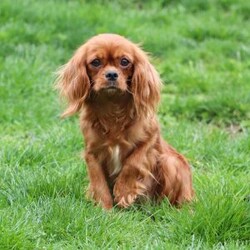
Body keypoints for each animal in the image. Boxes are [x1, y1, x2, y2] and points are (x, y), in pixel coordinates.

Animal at [55, 33, 194, 209]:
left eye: (124, 61)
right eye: (95, 62)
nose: (112, 74)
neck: (112, 107)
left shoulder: (150, 138)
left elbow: (133, 163)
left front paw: (123, 192)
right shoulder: (92, 154)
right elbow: (98, 182)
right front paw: (105, 209)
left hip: (172, 163)